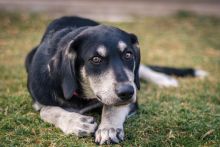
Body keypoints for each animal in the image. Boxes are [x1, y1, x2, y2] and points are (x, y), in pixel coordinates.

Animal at [25, 16, 208, 145]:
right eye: (96, 59)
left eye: (128, 55)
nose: (127, 92)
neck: (84, 96)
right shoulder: (39, 98)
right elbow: (46, 110)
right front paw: (76, 122)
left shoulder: (132, 96)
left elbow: (113, 107)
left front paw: (108, 128)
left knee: (141, 71)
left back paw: (164, 80)